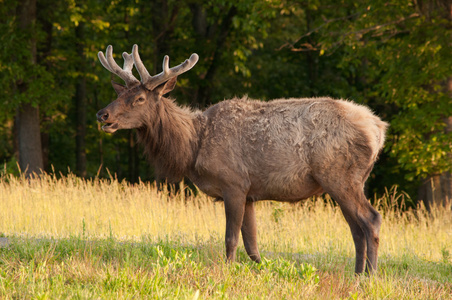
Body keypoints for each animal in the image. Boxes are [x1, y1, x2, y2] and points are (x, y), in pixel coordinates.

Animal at [96, 44, 388, 274]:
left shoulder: (233, 183)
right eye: (119, 94)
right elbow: (253, 244)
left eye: (139, 98)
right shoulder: (250, 193)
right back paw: (357, 274)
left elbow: (231, 238)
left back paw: (371, 276)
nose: (102, 115)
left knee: (371, 219)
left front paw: (228, 270)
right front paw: (263, 272)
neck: (193, 147)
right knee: (356, 227)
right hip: (346, 181)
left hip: (339, 175)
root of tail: (378, 129)